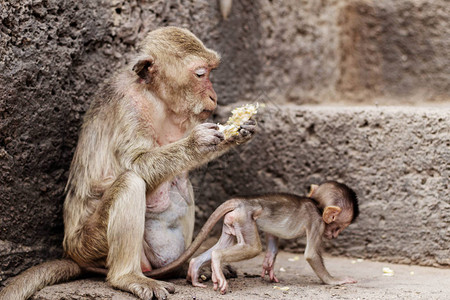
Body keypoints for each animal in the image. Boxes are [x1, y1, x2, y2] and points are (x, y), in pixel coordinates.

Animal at [0, 27, 255, 298]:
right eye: (200, 74)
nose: (213, 96)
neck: (155, 97)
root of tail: (72, 253)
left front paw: (237, 131)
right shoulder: (129, 105)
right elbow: (136, 164)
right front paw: (197, 142)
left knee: (182, 183)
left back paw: (181, 267)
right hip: (90, 244)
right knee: (131, 183)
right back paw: (128, 277)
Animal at [148, 180, 358, 292]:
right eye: (339, 227)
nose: (334, 235)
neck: (316, 204)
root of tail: (242, 201)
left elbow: (272, 236)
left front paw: (268, 264)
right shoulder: (317, 223)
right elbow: (312, 255)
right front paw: (336, 281)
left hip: (232, 221)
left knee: (221, 245)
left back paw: (195, 268)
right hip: (244, 219)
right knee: (249, 248)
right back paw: (216, 262)